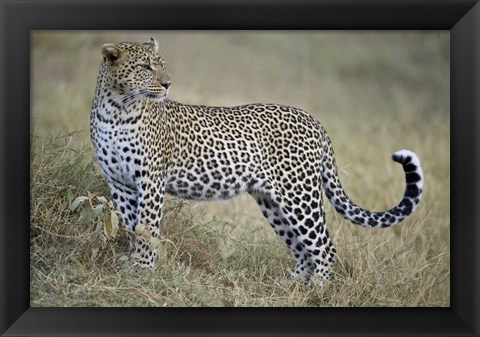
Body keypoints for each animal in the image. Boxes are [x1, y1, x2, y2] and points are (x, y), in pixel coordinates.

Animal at [90, 37, 424, 284]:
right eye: (145, 66)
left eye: (161, 65)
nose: (168, 84)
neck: (116, 109)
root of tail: (314, 120)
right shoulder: (120, 183)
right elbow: (131, 227)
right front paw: (133, 265)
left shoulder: (150, 181)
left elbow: (147, 228)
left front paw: (144, 270)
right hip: (273, 201)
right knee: (302, 250)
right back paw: (292, 287)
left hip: (299, 195)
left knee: (324, 248)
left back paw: (317, 290)